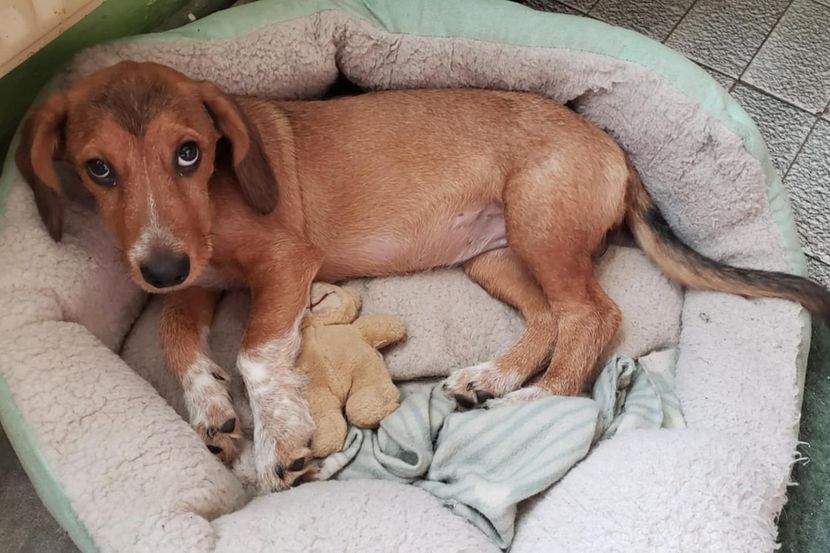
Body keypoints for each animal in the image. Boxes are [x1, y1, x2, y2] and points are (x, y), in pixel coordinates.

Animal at [16, 61, 830, 492]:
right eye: (97, 169)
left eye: (189, 153)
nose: (157, 266)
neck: (215, 204)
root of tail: (614, 148)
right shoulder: (194, 282)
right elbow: (178, 337)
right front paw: (212, 410)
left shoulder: (283, 265)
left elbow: (255, 353)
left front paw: (277, 440)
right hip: (495, 254)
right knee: (549, 319)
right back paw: (492, 381)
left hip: (539, 224)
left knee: (592, 316)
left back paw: (529, 404)